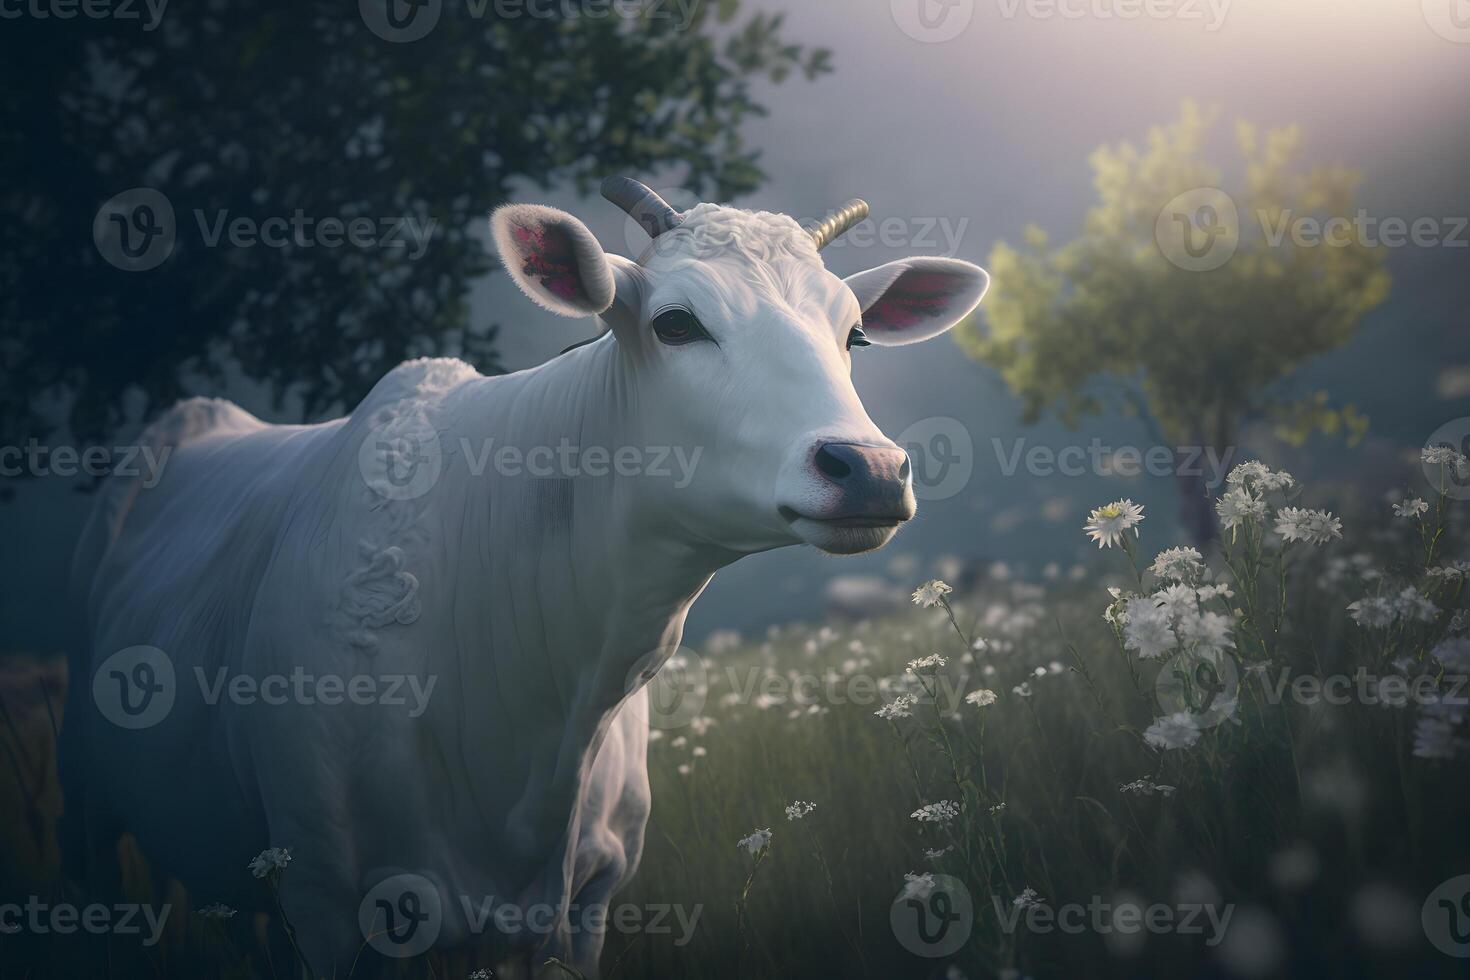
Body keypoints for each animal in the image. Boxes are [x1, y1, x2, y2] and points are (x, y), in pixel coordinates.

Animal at [71, 178, 987, 975]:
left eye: (854, 336)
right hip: (100, 818)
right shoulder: (323, 897)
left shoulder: (589, 898)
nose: (868, 468)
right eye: (677, 323)